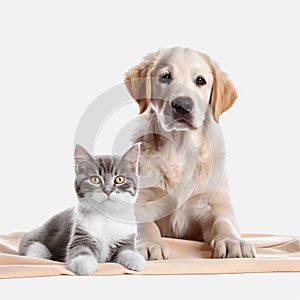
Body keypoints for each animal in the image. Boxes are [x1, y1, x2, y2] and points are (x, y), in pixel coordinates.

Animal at [18, 143, 145, 274]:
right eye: (95, 179)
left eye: (119, 179)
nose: (108, 191)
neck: (106, 215)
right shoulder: (81, 232)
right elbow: (79, 248)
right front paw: (85, 263)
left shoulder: (126, 237)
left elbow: (127, 250)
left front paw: (136, 260)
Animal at [124, 47, 255, 260]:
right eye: (165, 77)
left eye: (200, 80)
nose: (183, 105)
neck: (181, 149)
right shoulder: (140, 201)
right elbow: (145, 224)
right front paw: (151, 244)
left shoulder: (214, 203)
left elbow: (224, 222)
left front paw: (233, 242)